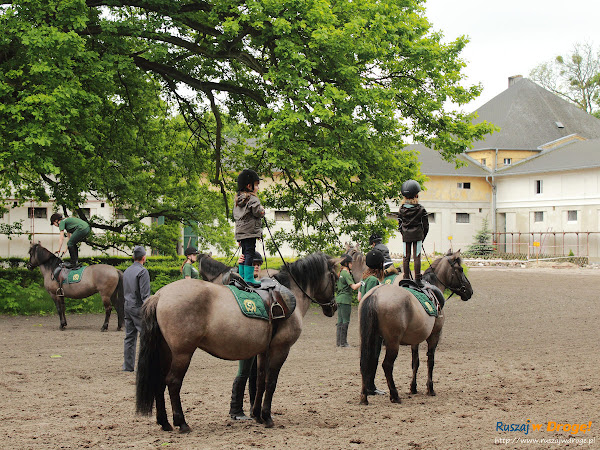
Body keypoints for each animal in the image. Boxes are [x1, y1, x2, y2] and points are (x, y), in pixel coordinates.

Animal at [137, 251, 340, 430]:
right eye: (334, 278)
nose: (333, 307)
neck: (290, 293)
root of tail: (160, 295)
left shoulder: (263, 351)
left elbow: (260, 381)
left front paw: (257, 415)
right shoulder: (280, 349)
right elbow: (271, 382)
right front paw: (267, 416)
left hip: (165, 351)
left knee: (159, 381)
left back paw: (165, 422)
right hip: (182, 353)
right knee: (173, 382)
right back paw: (182, 423)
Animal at [358, 248, 472, 406]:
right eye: (460, 269)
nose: (469, 290)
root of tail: (375, 294)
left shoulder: (415, 339)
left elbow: (415, 362)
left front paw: (413, 387)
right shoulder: (434, 336)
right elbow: (430, 361)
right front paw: (430, 388)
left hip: (371, 338)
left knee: (365, 363)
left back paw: (364, 396)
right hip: (392, 342)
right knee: (387, 365)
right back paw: (394, 395)